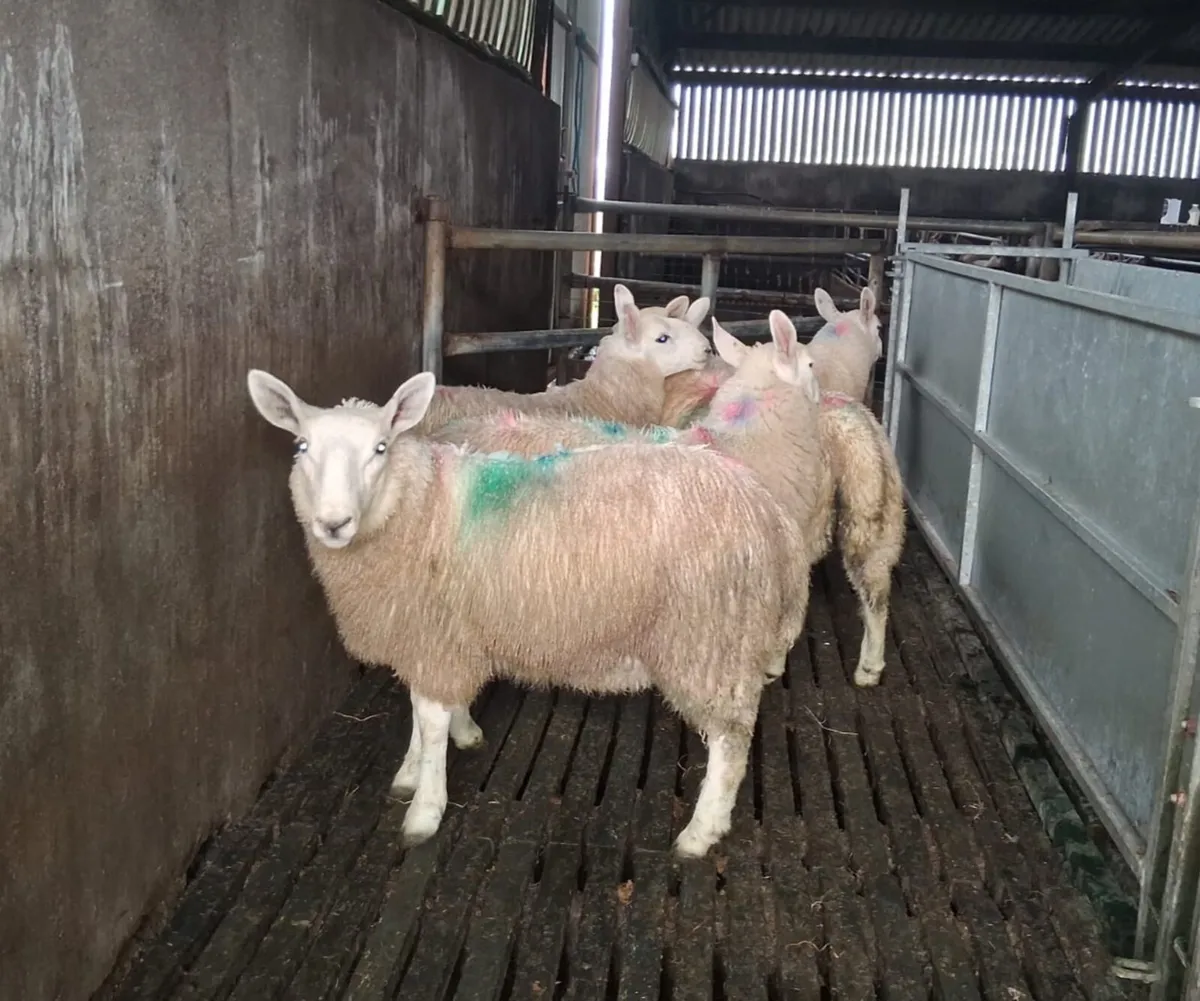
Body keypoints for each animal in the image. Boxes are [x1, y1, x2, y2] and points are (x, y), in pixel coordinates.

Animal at [245, 366, 802, 857]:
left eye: (380, 448)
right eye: (301, 447)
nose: (333, 523)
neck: (419, 508)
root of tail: (762, 504)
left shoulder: (434, 633)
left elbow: (429, 719)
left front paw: (424, 807)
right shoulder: (434, 631)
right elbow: (426, 708)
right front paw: (433, 754)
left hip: (710, 639)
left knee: (731, 739)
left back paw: (700, 834)